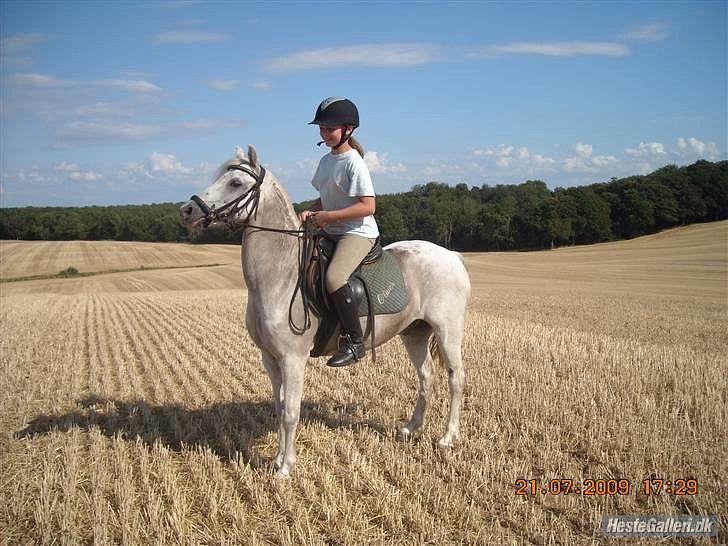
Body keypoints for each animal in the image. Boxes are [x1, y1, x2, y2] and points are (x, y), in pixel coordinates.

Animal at [179, 146, 470, 476]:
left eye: (236, 183)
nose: (187, 211)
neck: (279, 276)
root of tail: (452, 256)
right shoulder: (270, 358)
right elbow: (279, 407)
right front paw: (277, 460)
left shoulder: (293, 358)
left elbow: (291, 412)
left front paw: (285, 468)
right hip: (415, 333)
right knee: (426, 377)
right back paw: (410, 428)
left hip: (447, 331)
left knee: (456, 377)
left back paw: (447, 437)